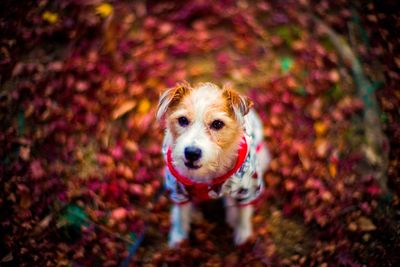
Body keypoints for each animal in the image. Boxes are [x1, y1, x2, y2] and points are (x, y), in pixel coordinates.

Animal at [155, 81, 270, 247]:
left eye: (217, 124)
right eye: (182, 120)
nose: (191, 153)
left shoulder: (249, 189)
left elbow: (243, 212)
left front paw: (243, 233)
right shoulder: (178, 190)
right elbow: (181, 215)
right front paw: (178, 236)